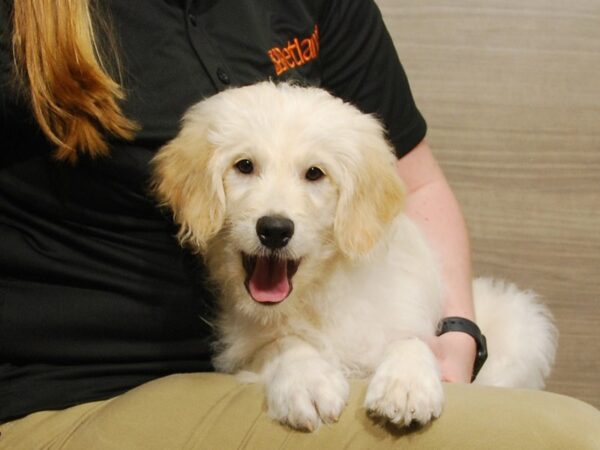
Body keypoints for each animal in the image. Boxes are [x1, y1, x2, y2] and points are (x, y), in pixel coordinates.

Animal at [151, 82, 556, 430]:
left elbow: (412, 340)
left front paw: (406, 384)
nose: (275, 229)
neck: (318, 296)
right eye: (244, 166)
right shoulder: (245, 351)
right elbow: (284, 343)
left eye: (315, 173)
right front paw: (307, 380)